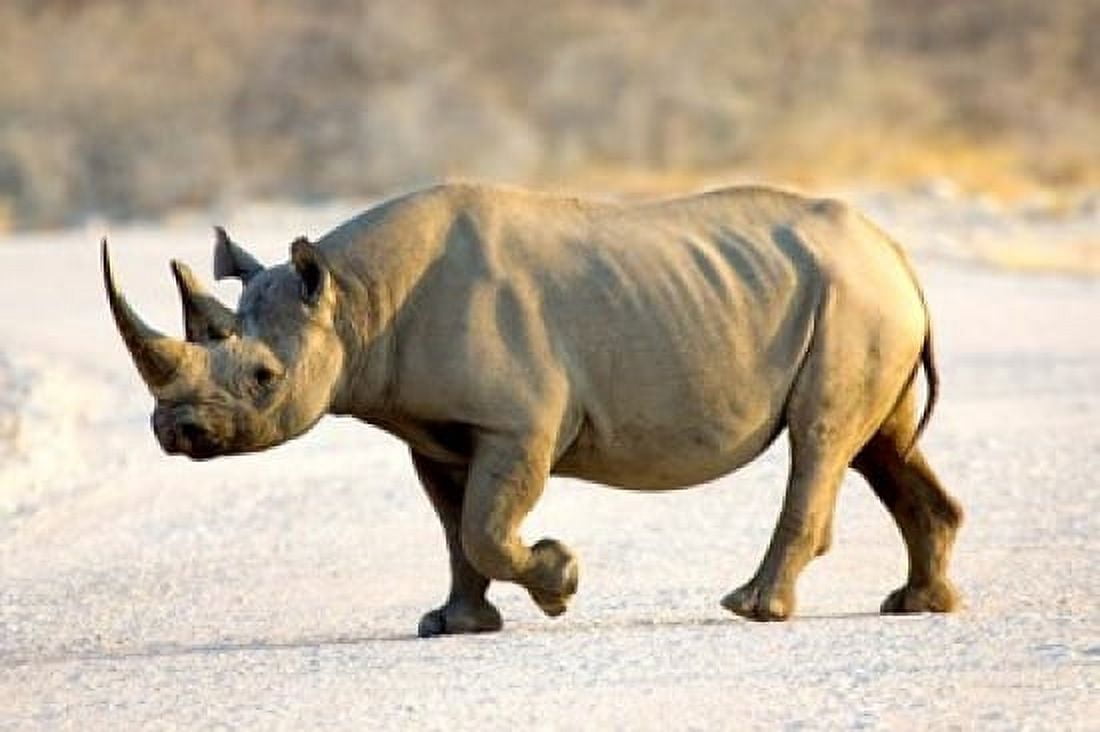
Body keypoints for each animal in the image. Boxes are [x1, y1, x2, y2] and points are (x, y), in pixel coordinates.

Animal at [102, 183, 963, 636]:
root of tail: (899, 256)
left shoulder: (518, 423)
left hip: (855, 301)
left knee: (821, 440)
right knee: (880, 445)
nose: (175, 433)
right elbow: (455, 531)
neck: (353, 299)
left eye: (263, 376)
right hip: (857, 300)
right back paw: (917, 606)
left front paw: (559, 581)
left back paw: (754, 610)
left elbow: (486, 527)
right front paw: (452, 625)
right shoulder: (433, 431)